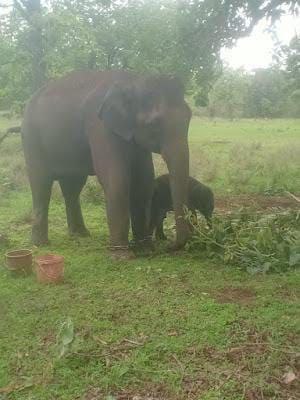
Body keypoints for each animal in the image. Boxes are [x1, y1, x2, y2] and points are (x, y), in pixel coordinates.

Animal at [21, 70, 191, 260]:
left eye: (189, 118)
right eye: (154, 125)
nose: (170, 246)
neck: (134, 79)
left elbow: (144, 182)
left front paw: (146, 250)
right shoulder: (99, 125)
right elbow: (116, 180)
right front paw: (122, 256)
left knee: (72, 187)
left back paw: (80, 235)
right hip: (31, 138)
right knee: (41, 184)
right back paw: (39, 244)